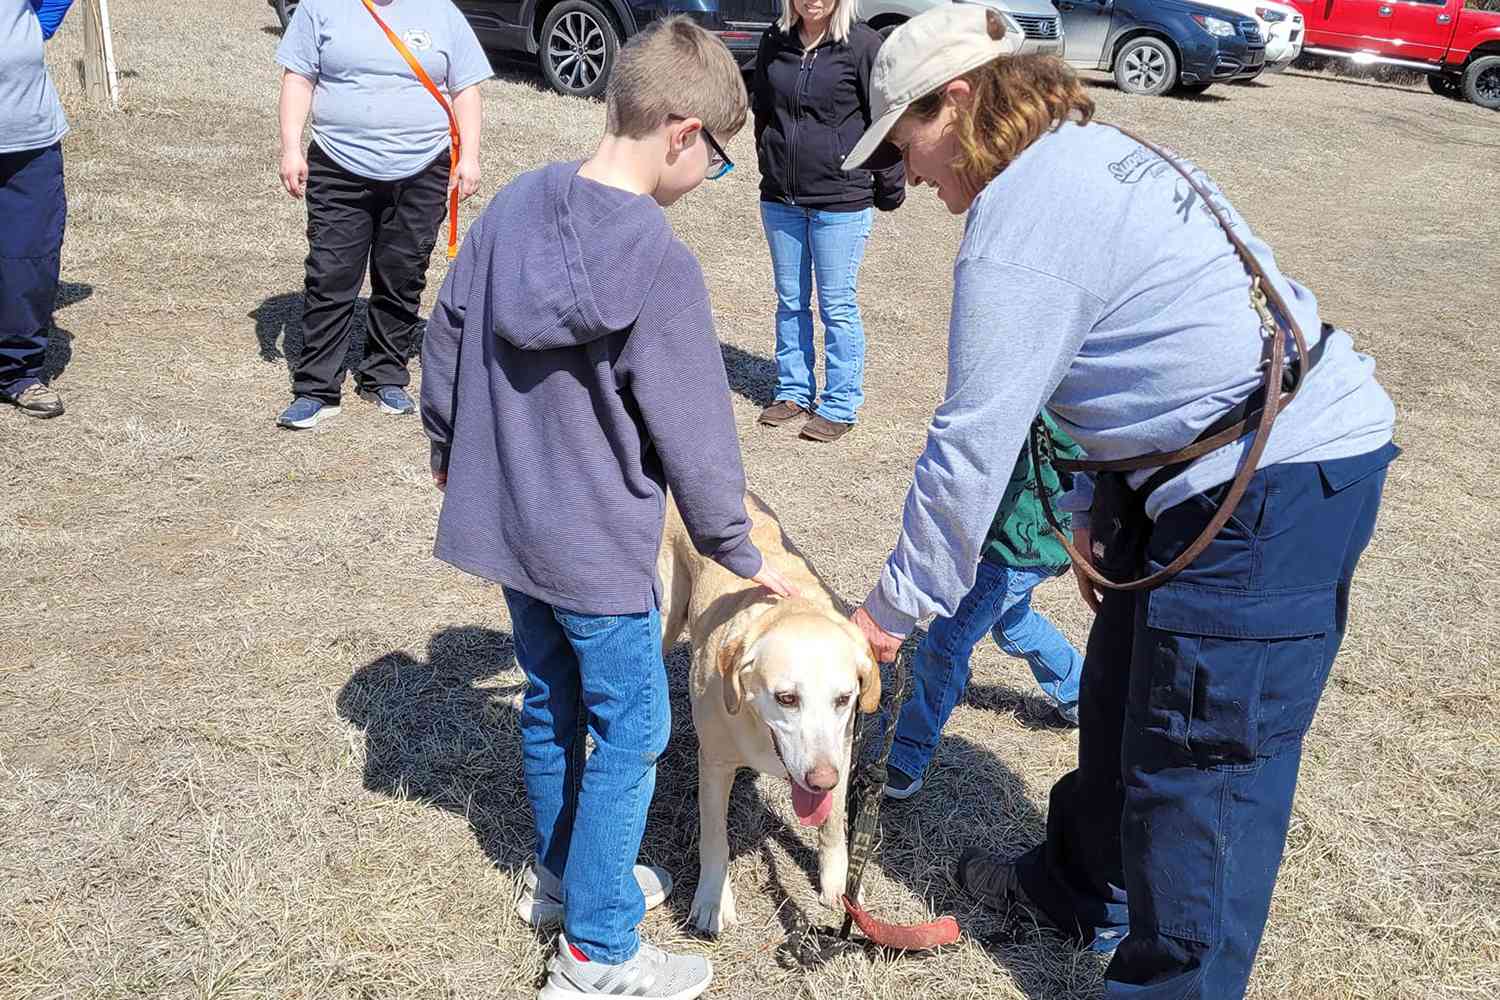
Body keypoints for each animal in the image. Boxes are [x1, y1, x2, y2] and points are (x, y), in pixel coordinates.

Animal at [657, 491, 876, 941]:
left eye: (844, 698)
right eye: (786, 698)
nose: (821, 780)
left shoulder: (842, 754)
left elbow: (832, 825)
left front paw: (839, 886)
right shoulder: (715, 764)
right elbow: (715, 839)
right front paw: (712, 900)